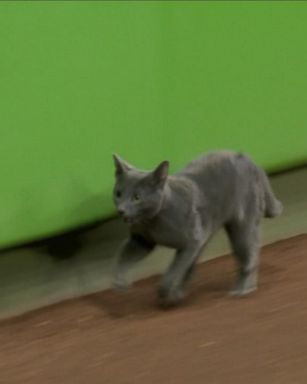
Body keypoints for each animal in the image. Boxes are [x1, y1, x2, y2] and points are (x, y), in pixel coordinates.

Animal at [112, 152, 282, 304]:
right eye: (118, 193)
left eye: (137, 198)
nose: (121, 210)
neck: (152, 222)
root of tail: (248, 159)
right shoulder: (142, 240)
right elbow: (123, 256)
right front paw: (120, 282)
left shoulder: (192, 241)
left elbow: (174, 269)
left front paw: (164, 291)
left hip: (242, 226)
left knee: (250, 255)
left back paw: (243, 289)